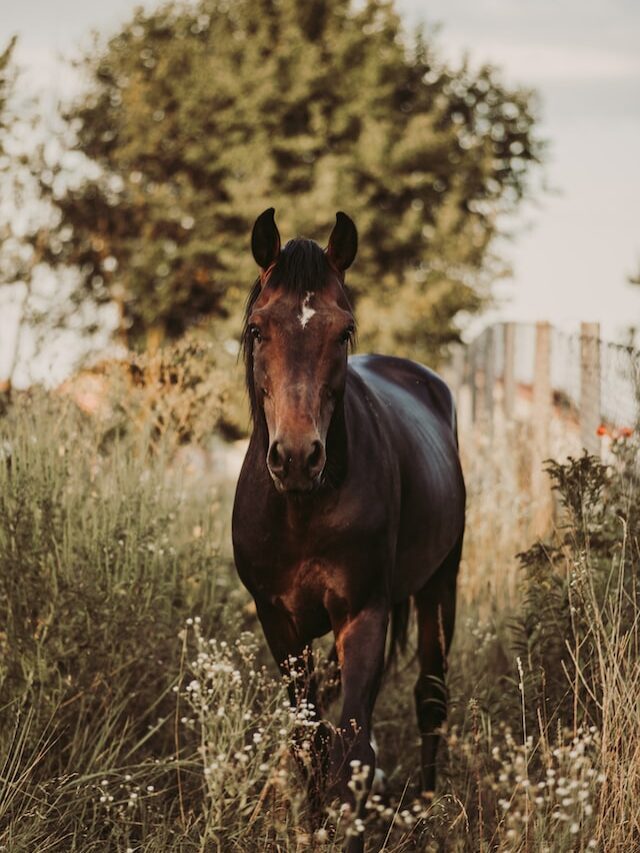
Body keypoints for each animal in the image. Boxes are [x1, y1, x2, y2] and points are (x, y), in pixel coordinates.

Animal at [230, 208, 464, 852]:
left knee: (430, 699)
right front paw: (311, 828)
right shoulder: (278, 623)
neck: (302, 509)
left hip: (440, 584)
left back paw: (427, 813)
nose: (297, 457)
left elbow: (353, 752)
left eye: (343, 331)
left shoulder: (364, 615)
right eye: (257, 330)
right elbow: (308, 742)